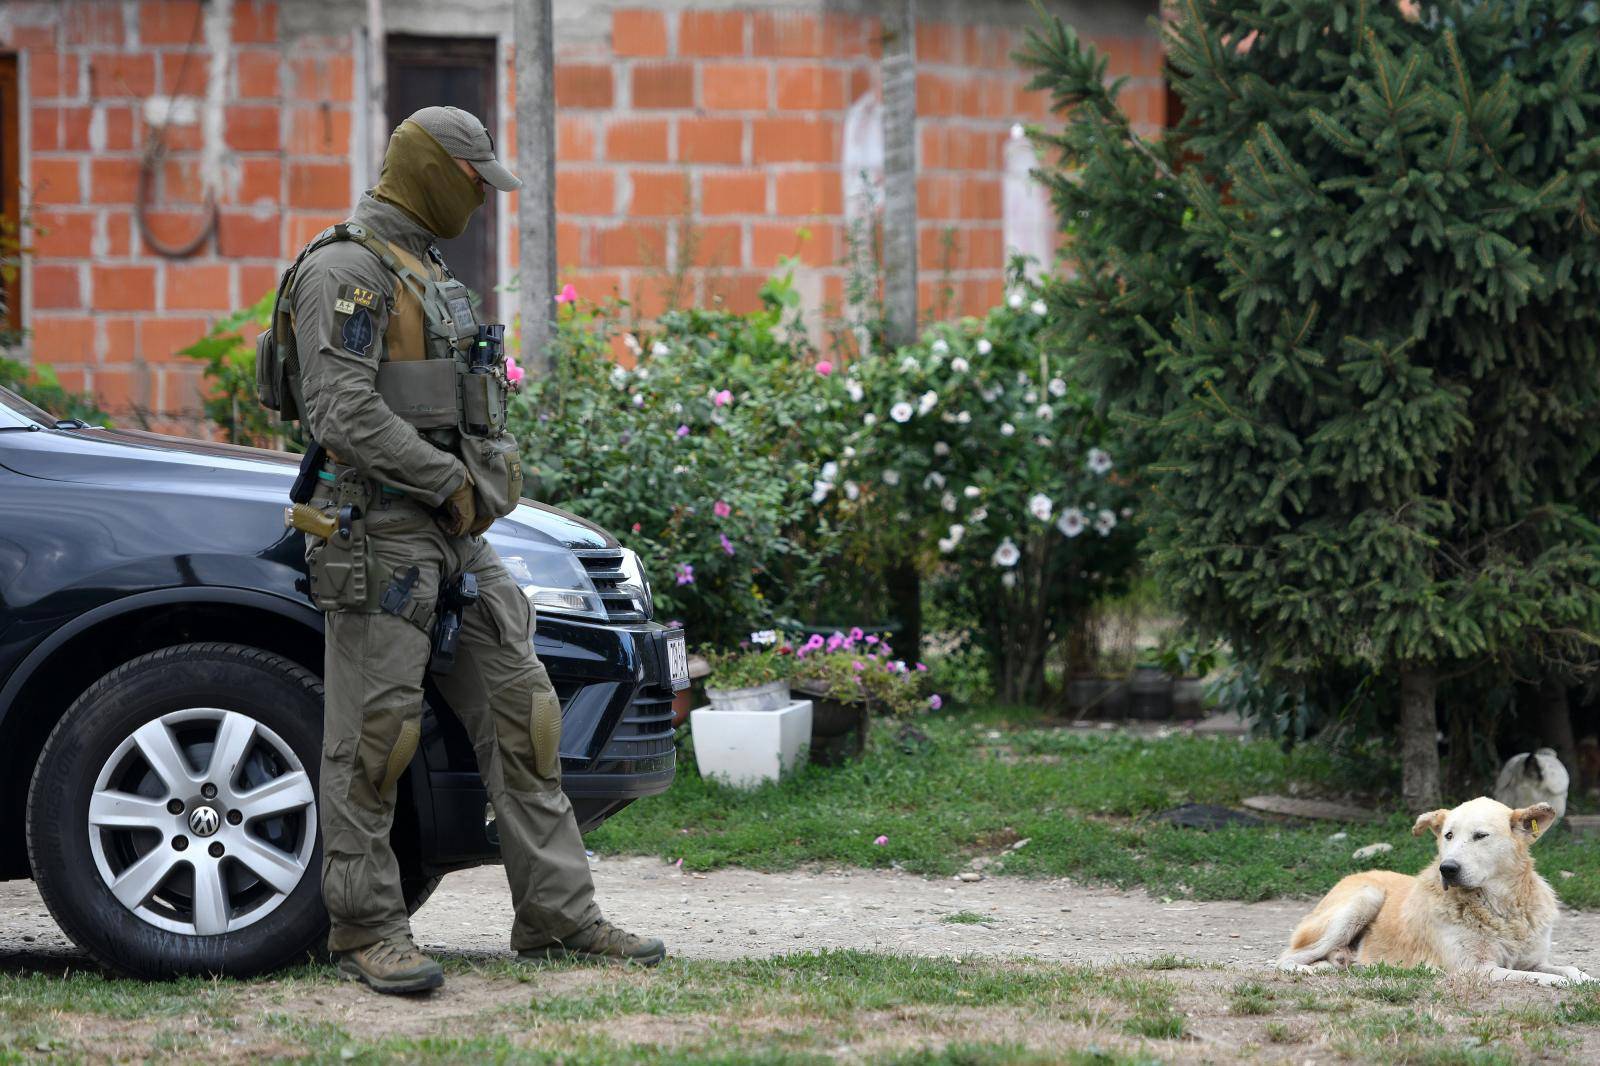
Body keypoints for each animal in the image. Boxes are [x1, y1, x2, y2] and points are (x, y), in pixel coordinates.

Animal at [1280, 793, 1593, 985]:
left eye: (1480, 836)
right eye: (1448, 835)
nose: (1448, 868)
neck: (1501, 908)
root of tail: (1352, 876)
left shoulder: (1533, 960)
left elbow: (1569, 969)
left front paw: (1586, 980)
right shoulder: (1476, 968)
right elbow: (1541, 977)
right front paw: (1564, 983)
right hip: (1365, 899)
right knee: (1285, 958)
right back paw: (1309, 969)